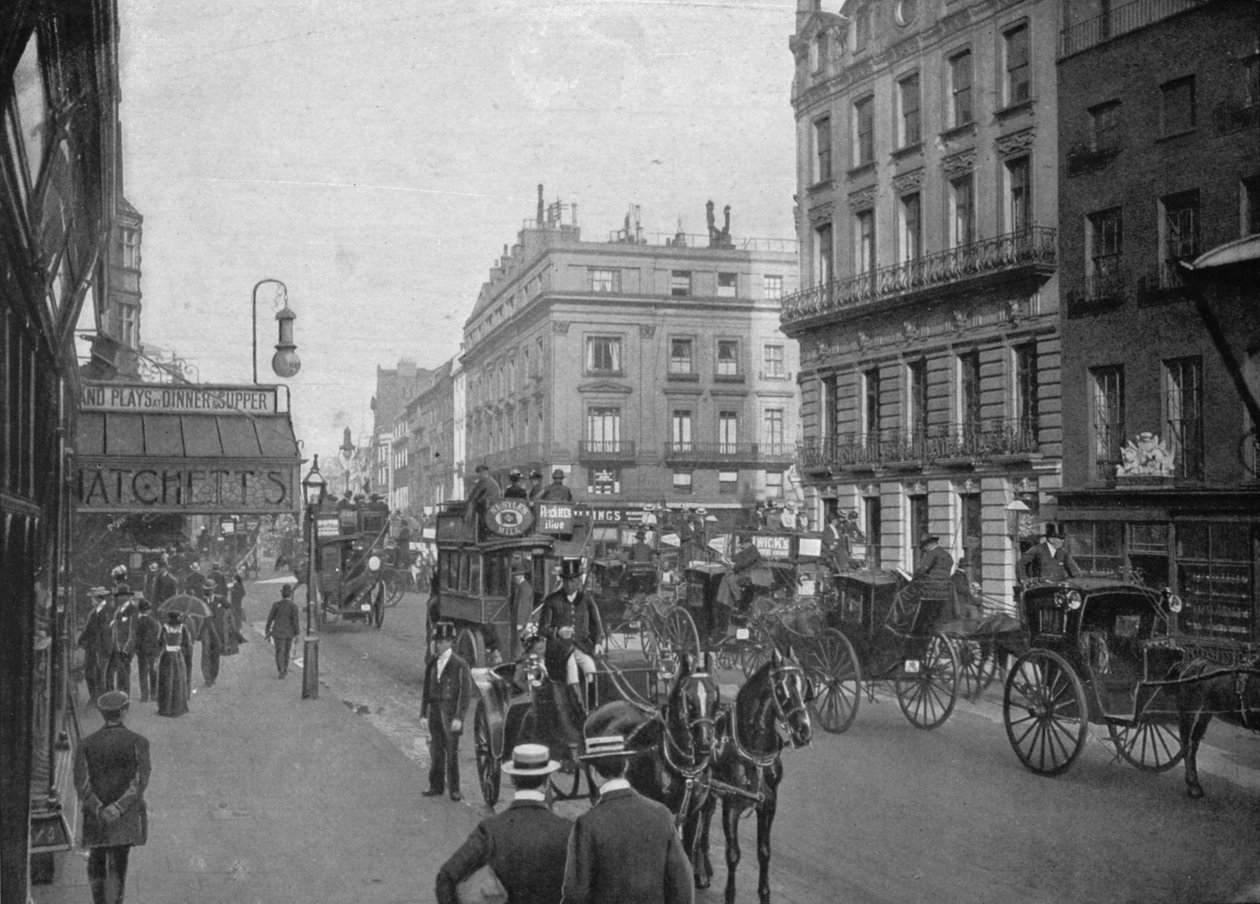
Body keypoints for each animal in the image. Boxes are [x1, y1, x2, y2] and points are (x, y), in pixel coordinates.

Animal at [579, 650, 720, 887]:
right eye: (688, 699)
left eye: (714, 698)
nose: (705, 744)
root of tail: (603, 708)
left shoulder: (694, 813)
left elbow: (689, 849)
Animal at [695, 645, 811, 897]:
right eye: (780, 688)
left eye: (804, 685)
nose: (804, 731)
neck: (753, 750)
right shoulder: (731, 805)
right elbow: (732, 854)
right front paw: (729, 894)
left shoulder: (768, 805)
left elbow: (764, 852)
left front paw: (764, 892)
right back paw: (699, 872)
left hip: (710, 794)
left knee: (705, 824)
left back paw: (705, 869)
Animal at [1169, 655, 1260, 796]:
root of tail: (1190, 663)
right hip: (1188, 711)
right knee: (1185, 742)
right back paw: (1192, 784)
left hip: (1205, 714)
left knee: (1194, 743)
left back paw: (1194, 783)